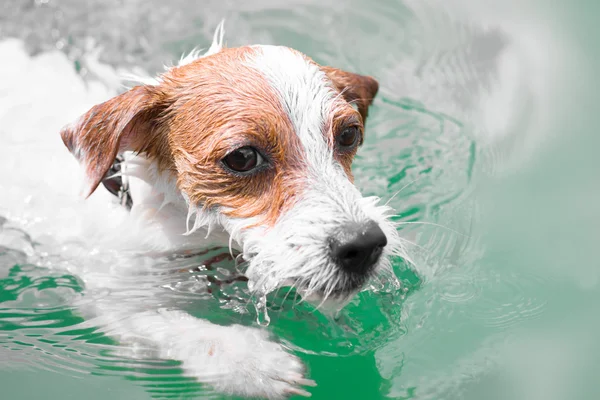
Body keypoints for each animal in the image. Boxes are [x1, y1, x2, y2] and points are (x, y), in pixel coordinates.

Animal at [59, 24, 408, 396]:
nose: (364, 244)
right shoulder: (113, 300)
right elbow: (174, 326)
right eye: (242, 157)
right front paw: (253, 364)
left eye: (348, 135)